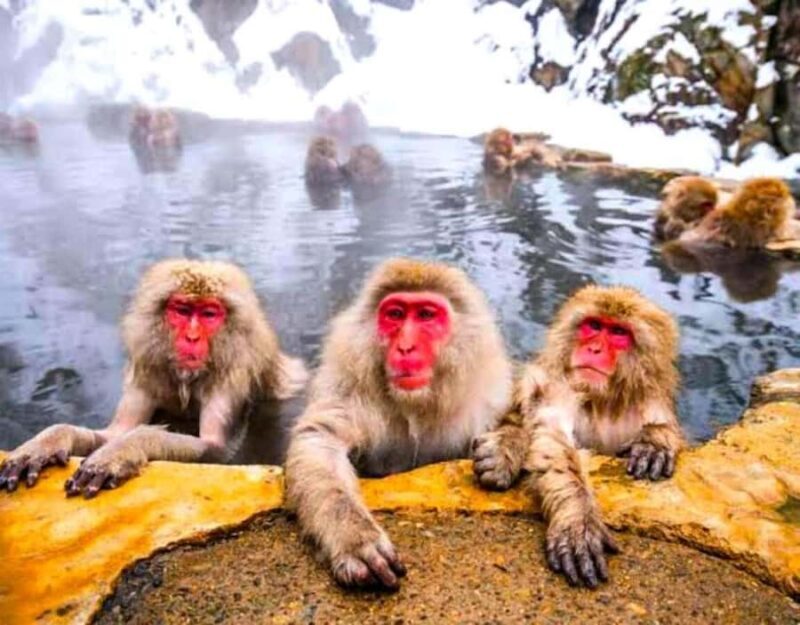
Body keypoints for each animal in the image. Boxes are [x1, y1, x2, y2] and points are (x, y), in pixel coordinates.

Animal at [0, 259, 308, 497]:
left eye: (209, 314)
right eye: (182, 311)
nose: (192, 338)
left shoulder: (232, 376)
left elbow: (218, 451)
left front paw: (123, 450)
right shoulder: (148, 369)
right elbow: (114, 432)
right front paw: (47, 442)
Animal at [285, 258, 513, 590]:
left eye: (426, 315)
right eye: (395, 314)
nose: (405, 347)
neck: (415, 405)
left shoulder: (489, 399)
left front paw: (505, 450)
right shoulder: (349, 389)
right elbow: (320, 439)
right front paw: (354, 537)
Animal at [473, 285, 683, 588]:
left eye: (618, 332)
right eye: (594, 326)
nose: (593, 348)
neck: (602, 402)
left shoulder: (649, 400)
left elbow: (662, 425)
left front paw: (654, 441)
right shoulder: (561, 387)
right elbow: (552, 437)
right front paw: (579, 519)